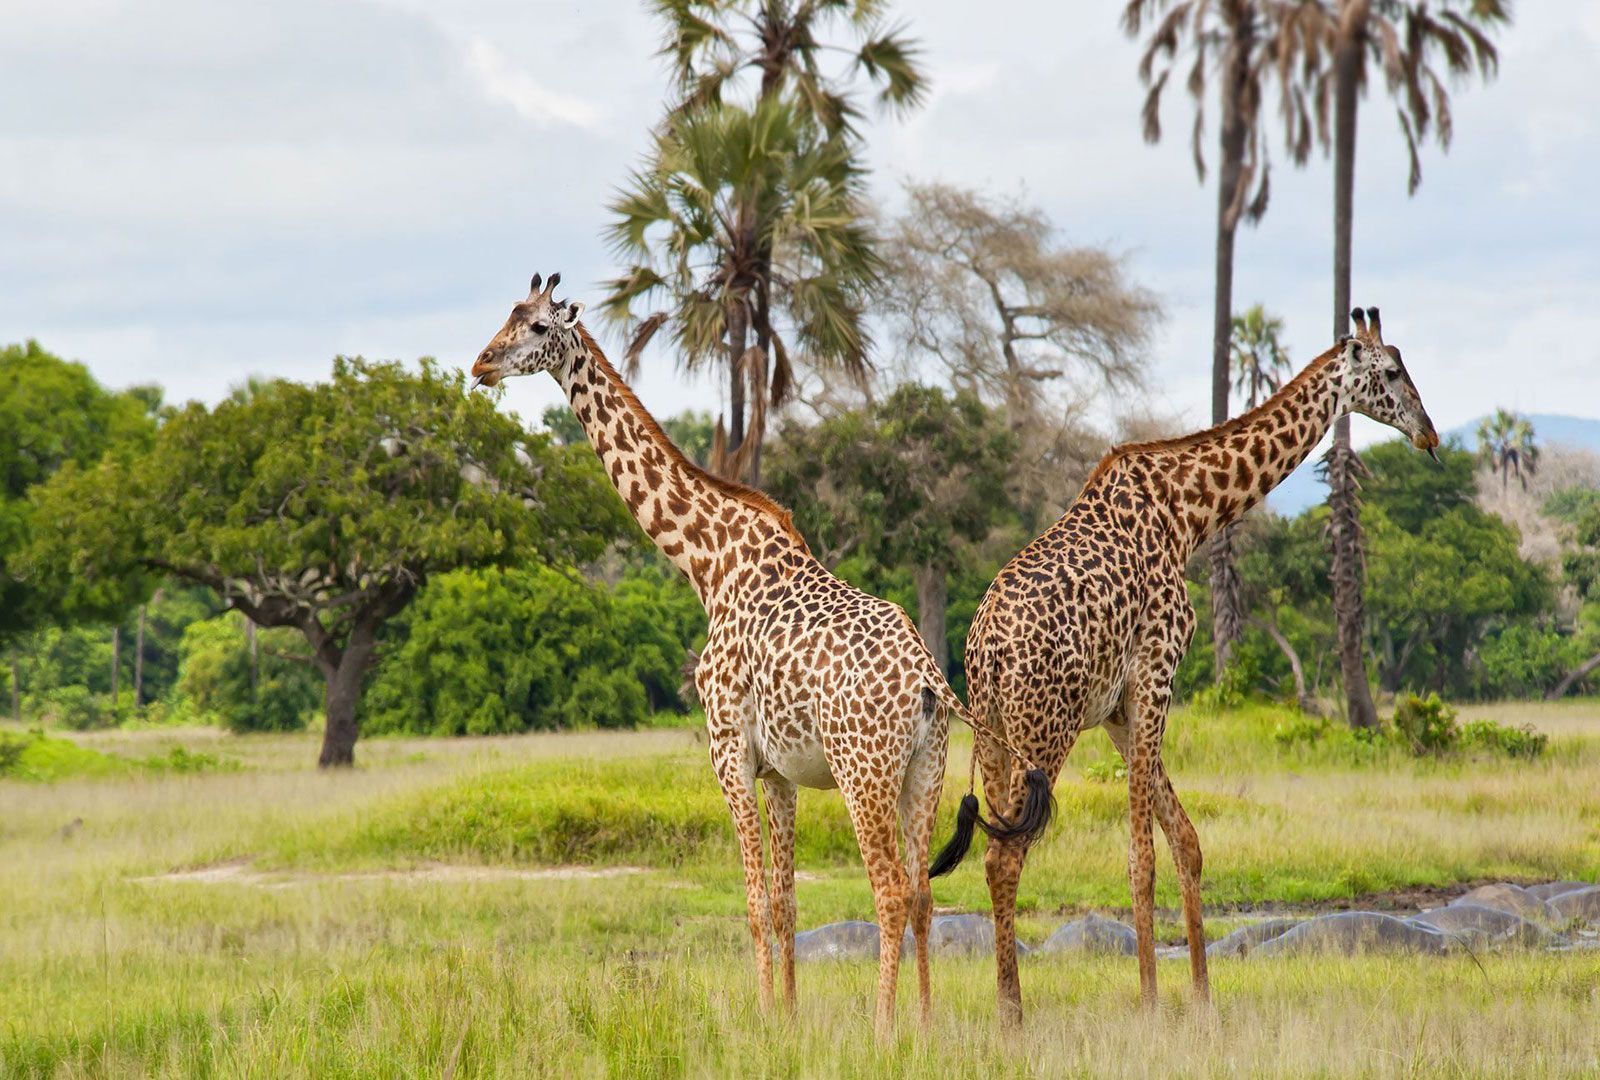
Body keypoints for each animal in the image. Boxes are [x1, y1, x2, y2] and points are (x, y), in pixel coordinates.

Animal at [467, 272, 1056, 1036]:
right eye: (509, 315)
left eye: (537, 326)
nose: (480, 364)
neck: (708, 563)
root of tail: (930, 677)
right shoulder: (779, 771)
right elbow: (784, 903)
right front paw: (788, 1018)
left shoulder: (728, 752)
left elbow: (749, 902)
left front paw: (760, 1017)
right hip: (924, 772)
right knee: (925, 892)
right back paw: (925, 1024)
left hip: (863, 772)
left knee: (891, 891)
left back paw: (884, 1028)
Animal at [934, 308, 1440, 1024]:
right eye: (1392, 372)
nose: (1428, 433)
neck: (1188, 512)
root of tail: (985, 650)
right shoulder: (1156, 672)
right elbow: (1141, 856)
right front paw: (1150, 1002)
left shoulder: (1116, 709)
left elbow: (1186, 841)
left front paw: (1201, 999)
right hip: (1045, 730)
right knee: (1006, 854)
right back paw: (1013, 1018)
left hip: (995, 734)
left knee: (992, 853)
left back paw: (1010, 1008)